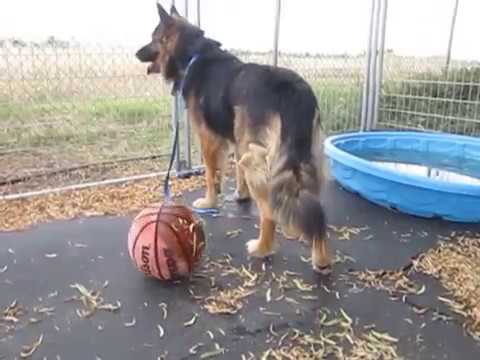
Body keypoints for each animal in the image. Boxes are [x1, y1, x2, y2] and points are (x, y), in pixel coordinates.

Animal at [135, 3, 330, 272]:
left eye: (153, 38)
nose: (135, 53)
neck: (194, 55)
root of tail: (292, 91)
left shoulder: (208, 139)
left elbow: (210, 174)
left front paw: (209, 202)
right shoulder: (235, 140)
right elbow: (235, 171)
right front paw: (240, 194)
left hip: (257, 161)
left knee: (269, 211)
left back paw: (262, 247)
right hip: (304, 159)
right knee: (315, 210)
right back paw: (320, 258)